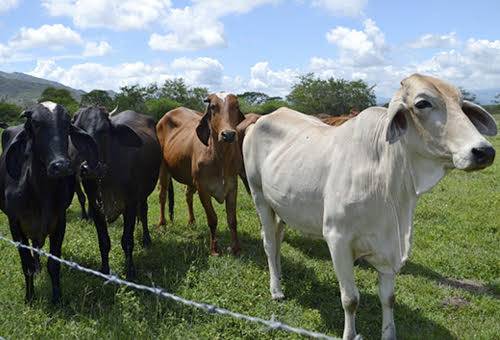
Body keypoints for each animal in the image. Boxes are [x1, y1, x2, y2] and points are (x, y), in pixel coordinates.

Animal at [0, 102, 97, 302]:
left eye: (67, 123)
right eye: (36, 123)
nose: (61, 166)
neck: (40, 191)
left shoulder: (59, 222)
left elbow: (54, 264)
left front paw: (57, 298)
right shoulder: (15, 224)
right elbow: (26, 265)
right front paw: (29, 297)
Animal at [72, 107, 161, 280]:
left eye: (104, 131)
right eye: (79, 132)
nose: (88, 168)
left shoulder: (131, 203)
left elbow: (127, 240)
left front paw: (130, 271)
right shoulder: (95, 206)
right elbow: (103, 241)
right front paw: (104, 270)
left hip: (144, 193)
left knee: (144, 212)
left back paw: (146, 239)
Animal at [156, 93, 258, 255]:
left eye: (236, 106)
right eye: (213, 107)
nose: (228, 135)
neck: (220, 158)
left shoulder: (232, 186)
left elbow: (232, 219)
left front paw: (236, 248)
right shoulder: (203, 188)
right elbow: (212, 218)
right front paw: (214, 249)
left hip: (190, 179)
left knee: (188, 195)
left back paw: (192, 221)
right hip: (163, 169)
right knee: (162, 195)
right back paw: (162, 224)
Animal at [241, 73, 496, 338]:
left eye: (461, 104)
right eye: (422, 103)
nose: (484, 151)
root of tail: (262, 118)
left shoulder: (390, 248)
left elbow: (389, 298)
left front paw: (389, 333)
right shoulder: (337, 239)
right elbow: (350, 299)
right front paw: (349, 334)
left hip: (281, 206)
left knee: (278, 237)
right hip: (259, 196)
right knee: (269, 242)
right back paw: (276, 289)